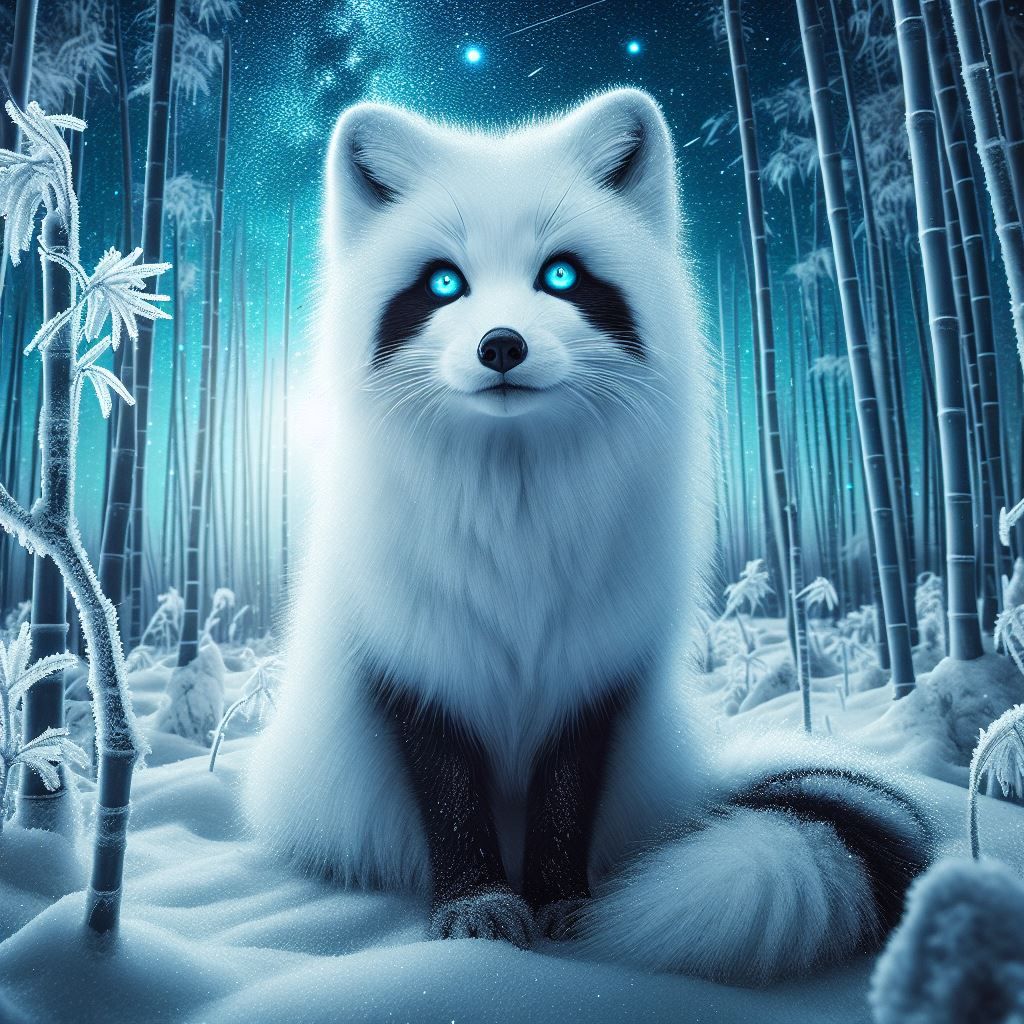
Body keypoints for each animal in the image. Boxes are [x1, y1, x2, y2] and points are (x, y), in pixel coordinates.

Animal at [246, 88, 930, 984]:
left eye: (561, 275)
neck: (513, 518)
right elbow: (452, 802)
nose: (502, 345)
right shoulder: (411, 665)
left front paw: (565, 909)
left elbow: (566, 802)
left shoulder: (598, 672)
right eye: (444, 283)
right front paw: (477, 909)